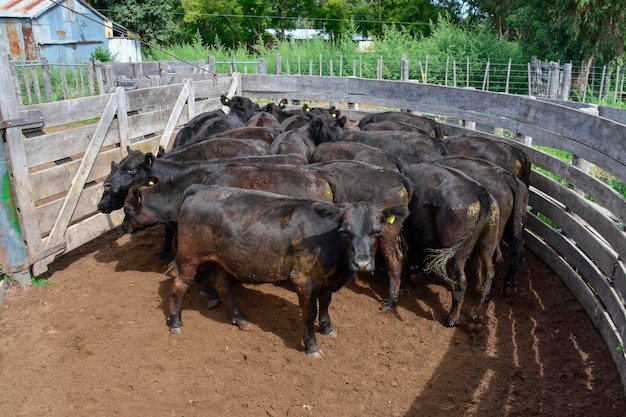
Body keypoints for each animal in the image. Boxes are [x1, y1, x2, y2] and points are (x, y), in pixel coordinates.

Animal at [168, 184, 408, 356]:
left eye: (377, 231)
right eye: (345, 231)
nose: (362, 263)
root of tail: (201, 189)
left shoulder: (327, 280)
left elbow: (326, 303)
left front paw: (327, 328)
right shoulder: (303, 278)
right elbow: (309, 312)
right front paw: (312, 345)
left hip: (220, 260)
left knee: (222, 285)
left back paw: (240, 319)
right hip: (190, 256)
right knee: (180, 284)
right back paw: (175, 322)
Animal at [402, 161, 500, 330]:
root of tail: (482, 192)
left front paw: (415, 274)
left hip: (456, 255)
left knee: (460, 282)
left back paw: (451, 319)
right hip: (486, 248)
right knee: (486, 278)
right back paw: (475, 319)